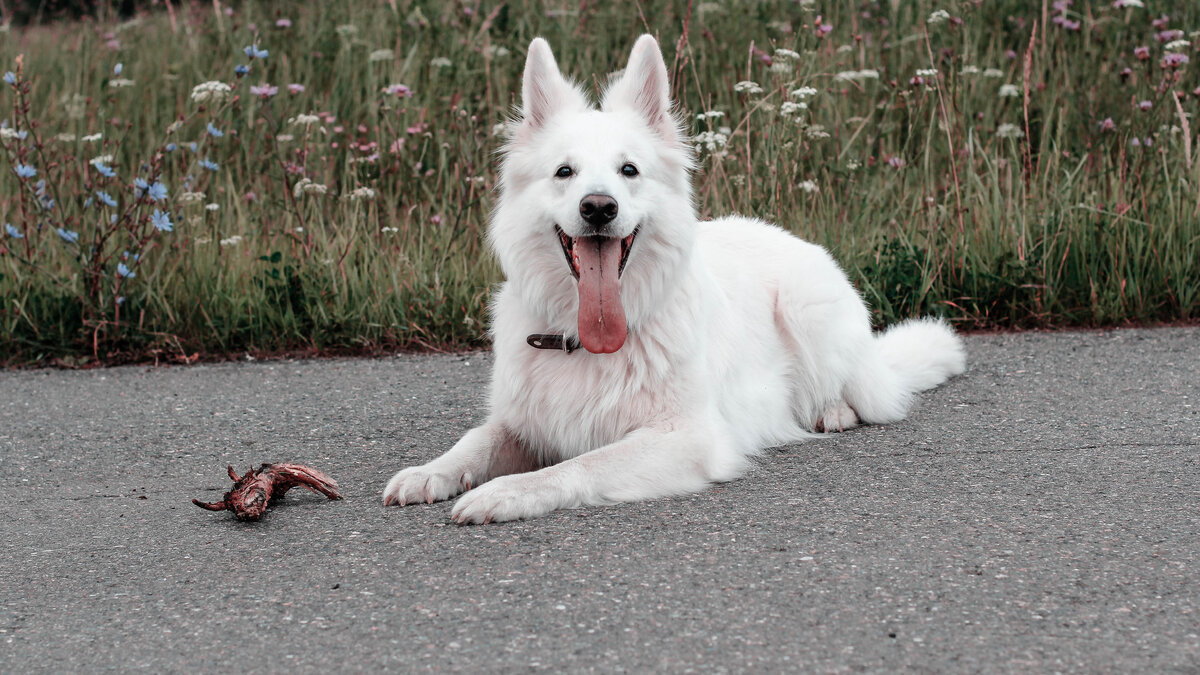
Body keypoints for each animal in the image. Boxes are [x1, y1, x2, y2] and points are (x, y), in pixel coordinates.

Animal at [384, 34, 964, 523]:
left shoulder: (684, 438)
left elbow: (577, 465)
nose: (599, 208)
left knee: (862, 393)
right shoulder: (522, 422)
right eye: (565, 172)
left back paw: (834, 412)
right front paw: (429, 472)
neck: (584, 341)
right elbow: (474, 440)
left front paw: (504, 492)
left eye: (629, 170)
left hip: (809, 312)